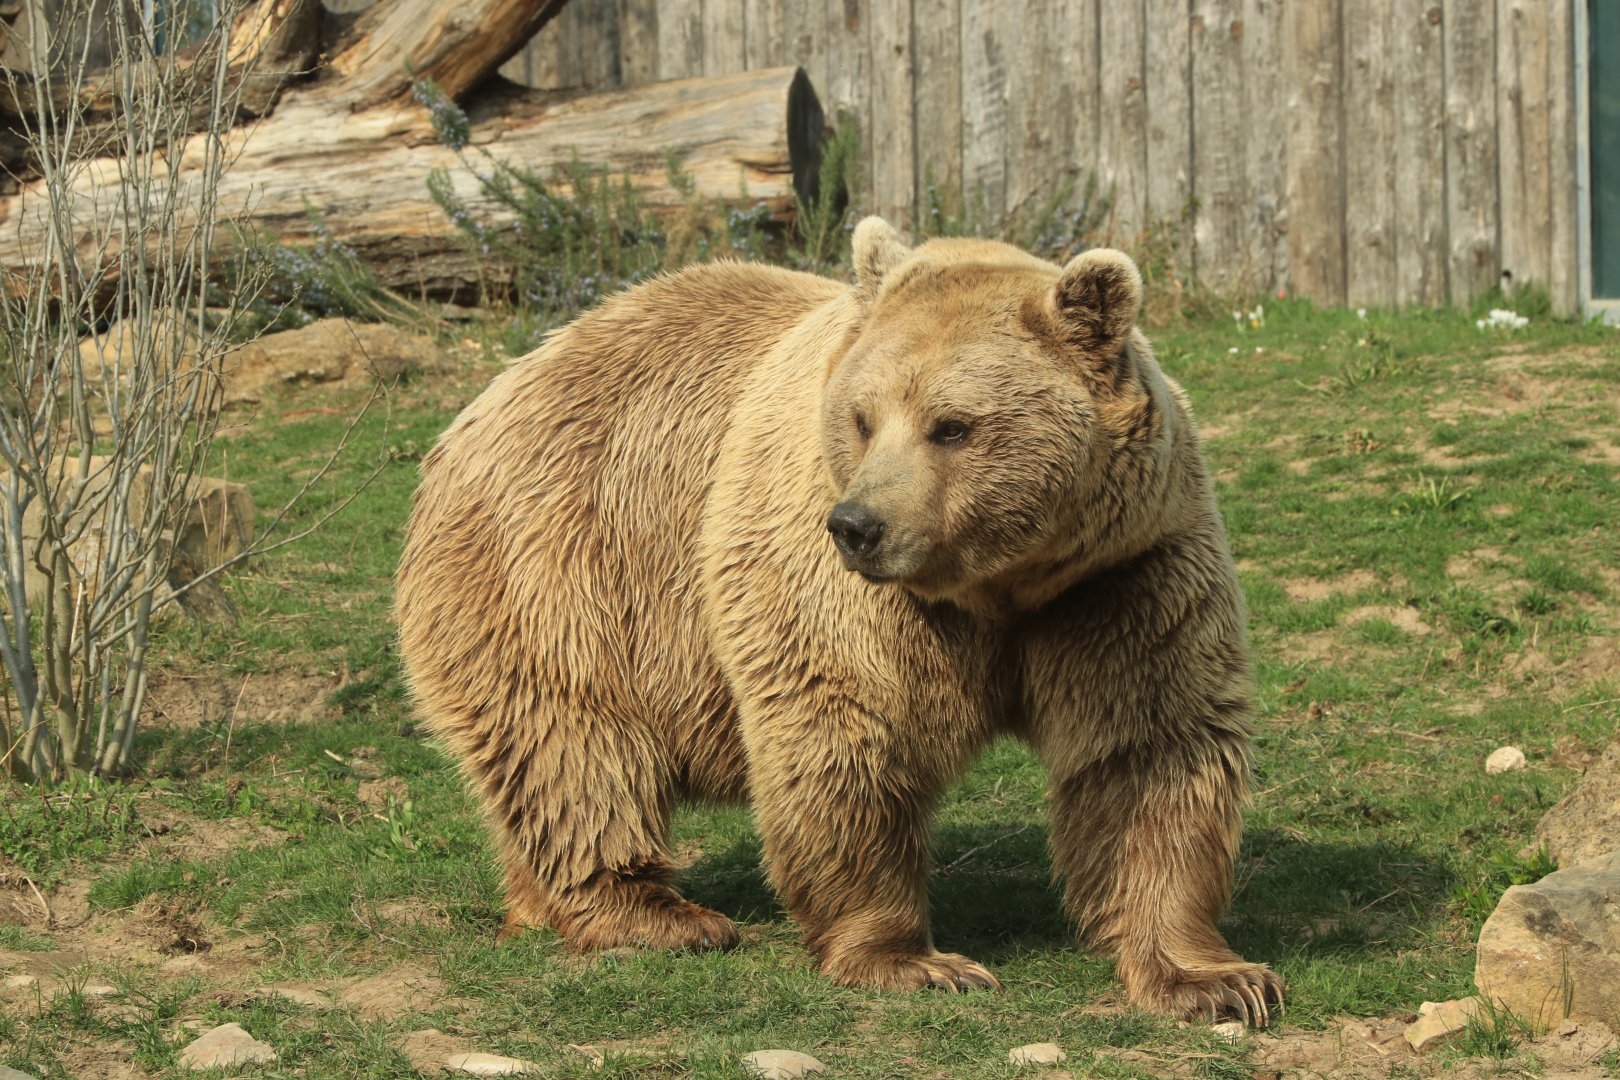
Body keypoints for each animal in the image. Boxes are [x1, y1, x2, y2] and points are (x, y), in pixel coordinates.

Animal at [395, 217, 1284, 1024]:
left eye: (953, 424)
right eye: (862, 416)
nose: (859, 525)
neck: (999, 583)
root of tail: (497, 389)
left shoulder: (1123, 573)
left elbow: (1148, 752)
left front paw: (1215, 980)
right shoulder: (839, 577)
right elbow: (847, 726)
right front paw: (914, 960)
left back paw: (542, 904)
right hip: (560, 561)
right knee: (574, 743)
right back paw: (656, 915)